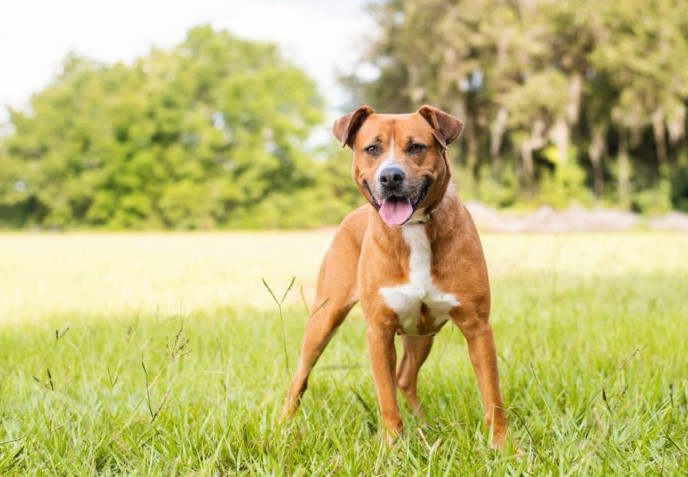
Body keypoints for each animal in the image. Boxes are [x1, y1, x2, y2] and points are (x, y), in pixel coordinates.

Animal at [278, 104, 506, 446]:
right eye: (372, 148)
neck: (414, 229)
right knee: (301, 375)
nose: (391, 176)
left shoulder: (477, 327)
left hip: (421, 333)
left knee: (406, 378)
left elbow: (492, 395)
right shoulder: (379, 331)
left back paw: (424, 424)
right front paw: (393, 447)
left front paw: (503, 446)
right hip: (324, 318)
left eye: (416, 147)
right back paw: (283, 425)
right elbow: (385, 397)